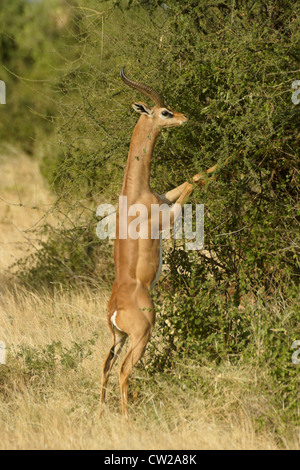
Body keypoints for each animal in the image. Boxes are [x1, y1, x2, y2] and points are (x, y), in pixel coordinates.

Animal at [101, 68, 213, 416]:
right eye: (164, 112)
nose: (184, 117)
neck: (137, 191)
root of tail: (115, 311)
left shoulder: (166, 197)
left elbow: (194, 176)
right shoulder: (168, 217)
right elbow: (191, 183)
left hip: (118, 338)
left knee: (105, 368)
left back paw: (100, 412)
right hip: (142, 336)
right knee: (124, 370)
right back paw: (127, 419)